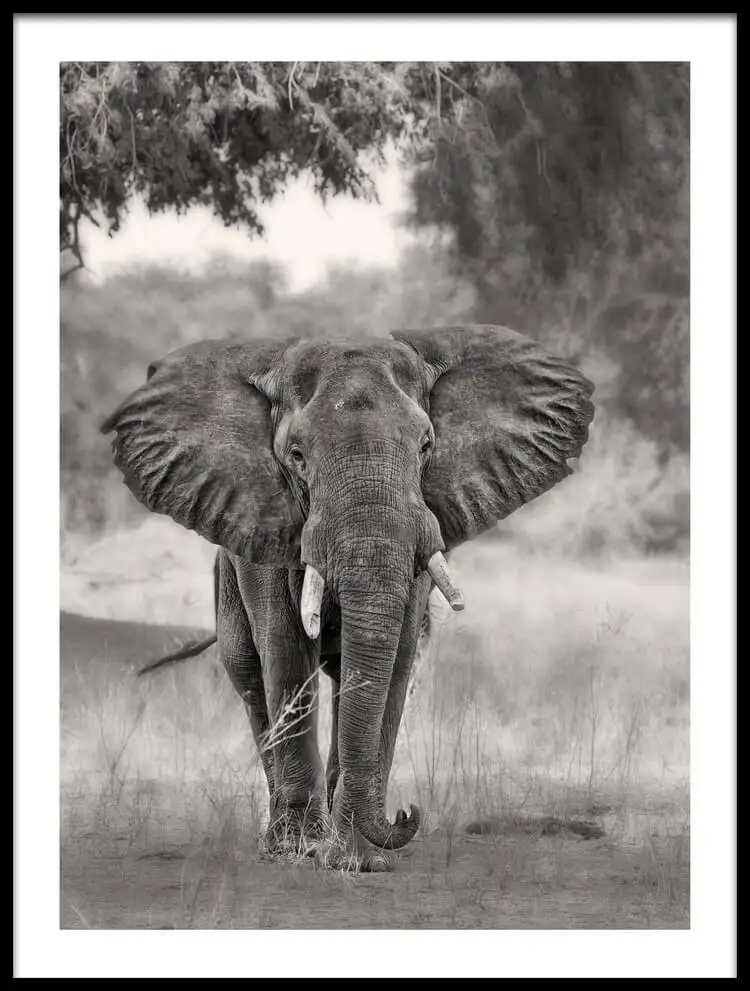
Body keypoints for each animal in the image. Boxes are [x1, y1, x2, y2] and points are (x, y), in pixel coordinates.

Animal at [100, 324, 594, 870]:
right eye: (296, 456)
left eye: (426, 445)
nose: (406, 814)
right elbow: (286, 650)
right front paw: (303, 849)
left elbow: (396, 659)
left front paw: (357, 859)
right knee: (248, 672)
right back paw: (277, 838)